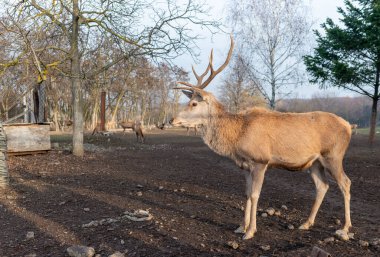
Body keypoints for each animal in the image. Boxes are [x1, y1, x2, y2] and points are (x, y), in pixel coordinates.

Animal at [170, 35, 354, 239]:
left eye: (194, 103)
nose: (172, 119)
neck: (236, 137)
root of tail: (348, 126)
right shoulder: (244, 165)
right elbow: (246, 194)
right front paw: (241, 226)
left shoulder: (260, 160)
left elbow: (255, 195)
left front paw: (250, 231)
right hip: (315, 162)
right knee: (323, 186)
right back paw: (306, 223)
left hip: (333, 155)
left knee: (346, 183)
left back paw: (345, 228)